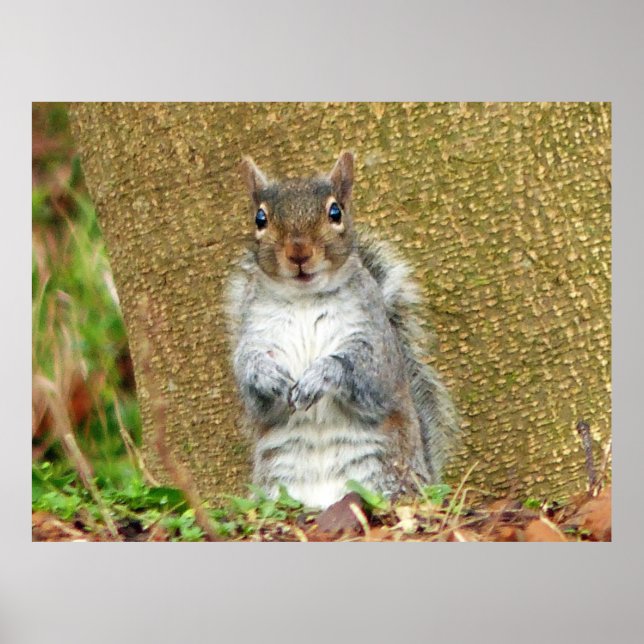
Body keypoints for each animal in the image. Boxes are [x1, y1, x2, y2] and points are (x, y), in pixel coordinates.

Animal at [225, 151, 459, 509]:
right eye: (260, 218)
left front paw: (319, 376)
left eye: (335, 212)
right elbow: (248, 376)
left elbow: (366, 372)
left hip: (386, 473)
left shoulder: (375, 338)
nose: (298, 252)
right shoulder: (255, 333)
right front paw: (267, 375)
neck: (305, 298)